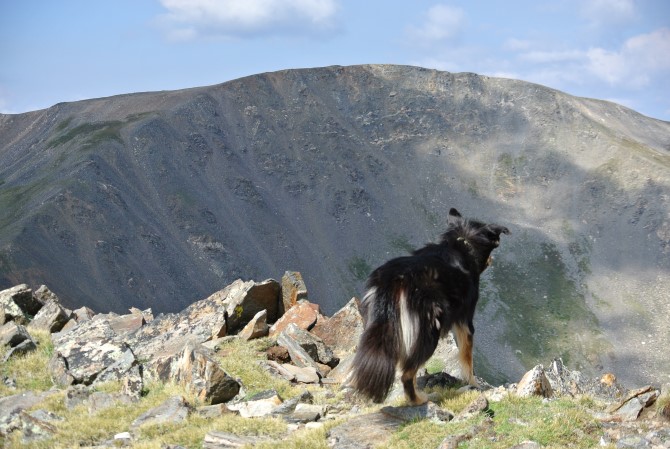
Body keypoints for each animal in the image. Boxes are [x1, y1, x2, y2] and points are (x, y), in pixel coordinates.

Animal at [350, 208, 512, 404]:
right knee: (407, 374)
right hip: (428, 331)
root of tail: (395, 280)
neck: (462, 241)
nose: (492, 260)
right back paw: (419, 400)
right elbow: (467, 358)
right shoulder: (465, 320)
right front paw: (474, 385)